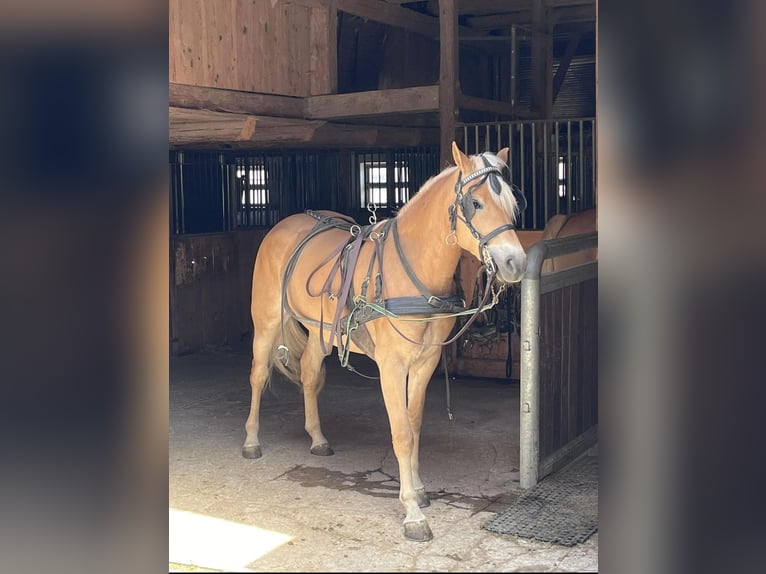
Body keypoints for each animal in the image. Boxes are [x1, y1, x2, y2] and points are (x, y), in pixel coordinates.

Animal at [244, 142, 528, 544]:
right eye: (476, 203)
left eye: (511, 204)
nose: (515, 263)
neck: (413, 271)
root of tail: (283, 226)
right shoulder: (392, 367)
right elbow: (402, 433)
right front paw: (412, 513)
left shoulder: (425, 363)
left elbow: (415, 422)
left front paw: (419, 490)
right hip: (268, 322)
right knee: (257, 376)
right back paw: (252, 442)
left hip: (321, 331)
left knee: (310, 374)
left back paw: (317, 438)